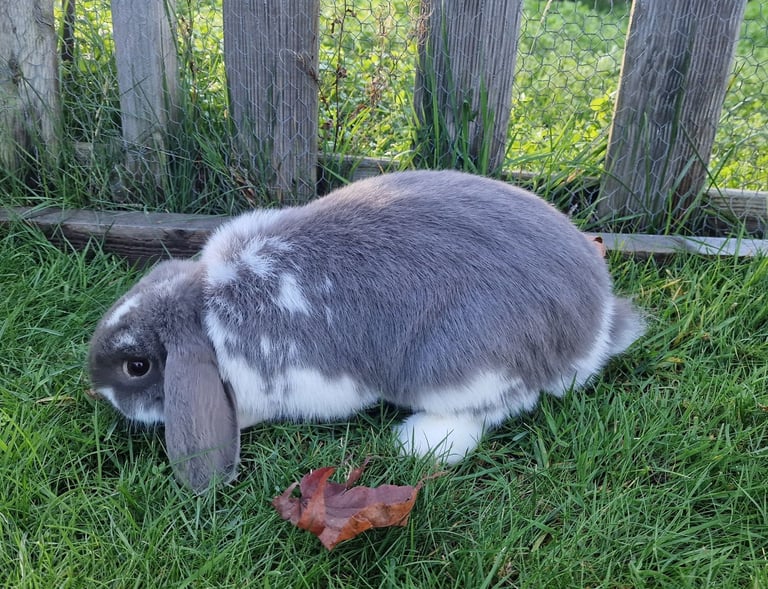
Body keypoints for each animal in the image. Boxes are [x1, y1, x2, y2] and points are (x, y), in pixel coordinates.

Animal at [88, 170, 645, 491]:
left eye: (137, 366)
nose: (97, 390)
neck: (206, 313)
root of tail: (594, 324)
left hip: (461, 364)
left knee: (494, 407)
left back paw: (417, 441)